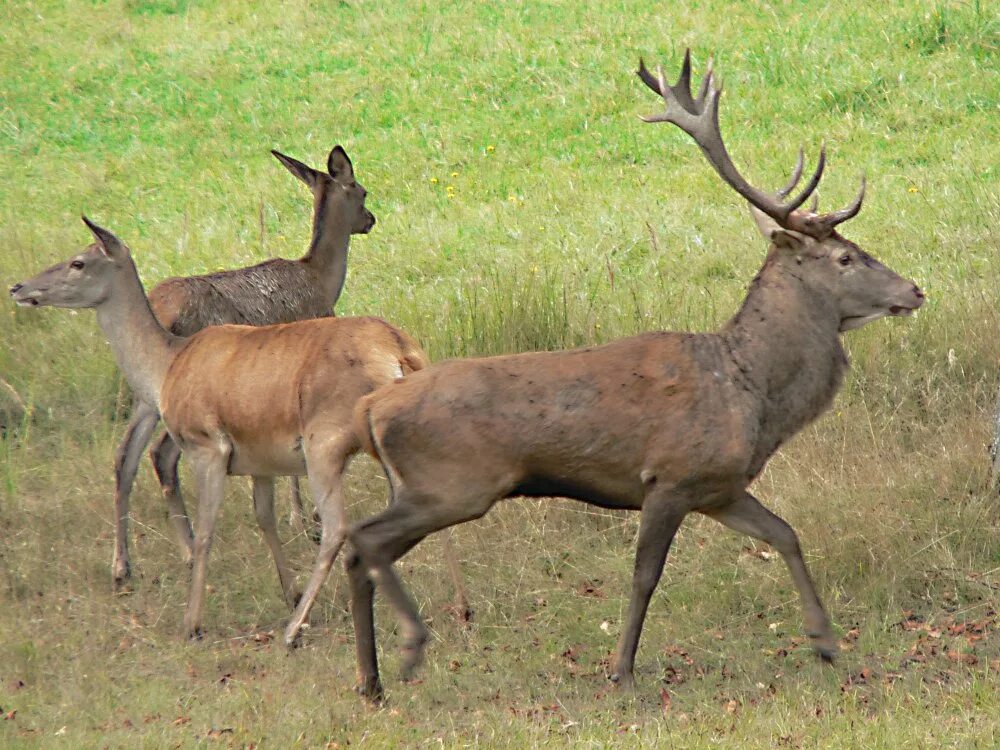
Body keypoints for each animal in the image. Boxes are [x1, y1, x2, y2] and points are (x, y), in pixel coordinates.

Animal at [9, 216, 462, 640]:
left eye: (78, 262)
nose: (17, 287)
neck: (166, 367)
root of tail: (401, 352)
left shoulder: (208, 446)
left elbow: (207, 530)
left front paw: (192, 623)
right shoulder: (259, 460)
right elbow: (265, 519)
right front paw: (289, 591)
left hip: (325, 441)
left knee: (338, 527)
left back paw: (294, 630)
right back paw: (456, 606)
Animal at [109, 145, 374, 592]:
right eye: (362, 190)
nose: (371, 219)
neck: (321, 279)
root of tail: (161, 311)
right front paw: (304, 519)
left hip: (147, 389)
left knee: (125, 454)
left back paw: (122, 566)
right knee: (161, 452)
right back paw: (186, 551)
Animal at [340, 50, 924, 704]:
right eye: (846, 257)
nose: (914, 290)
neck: (749, 390)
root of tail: (372, 407)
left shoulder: (719, 486)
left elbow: (785, 534)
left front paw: (825, 642)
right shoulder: (668, 476)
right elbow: (646, 575)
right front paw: (621, 669)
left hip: (425, 487)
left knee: (360, 551)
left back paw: (370, 680)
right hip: (450, 483)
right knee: (362, 540)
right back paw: (409, 648)